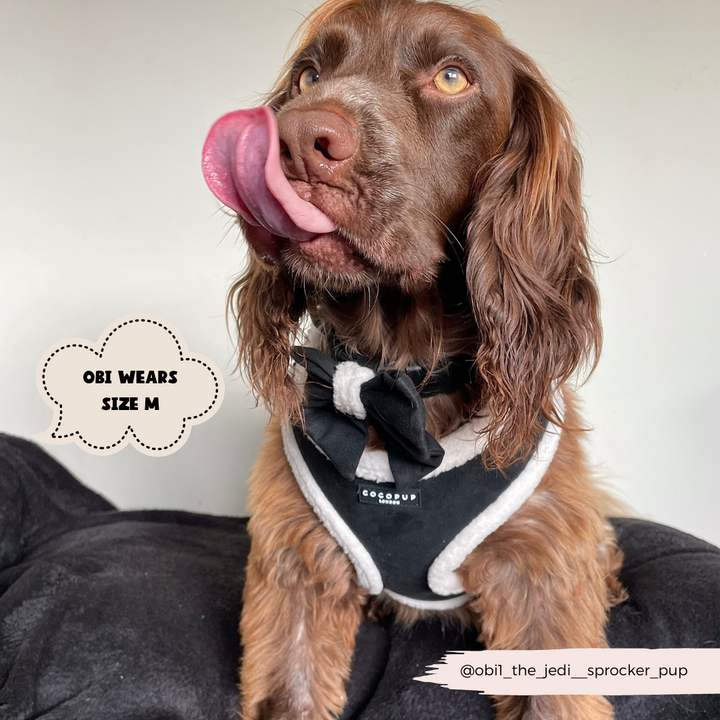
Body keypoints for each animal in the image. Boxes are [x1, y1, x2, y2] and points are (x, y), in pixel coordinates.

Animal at [201, 0, 624, 716]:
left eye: (452, 77)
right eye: (309, 75)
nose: (296, 140)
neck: (396, 378)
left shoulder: (541, 573)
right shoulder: (298, 567)